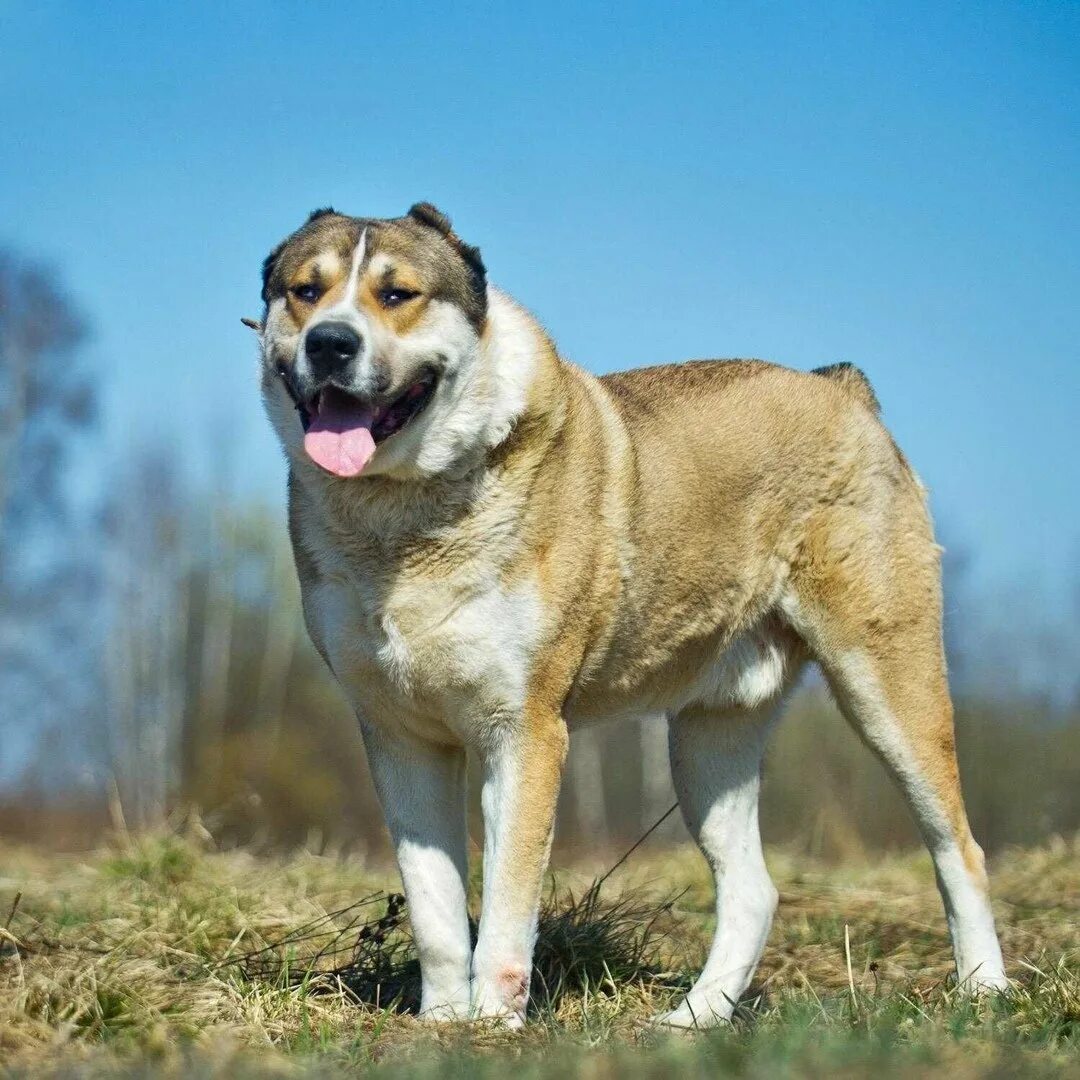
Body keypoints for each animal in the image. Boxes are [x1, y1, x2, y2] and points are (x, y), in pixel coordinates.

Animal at [248, 204, 1006, 1028]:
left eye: (397, 295)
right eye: (306, 291)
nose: (331, 341)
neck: (402, 514)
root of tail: (844, 392)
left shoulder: (525, 734)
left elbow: (507, 903)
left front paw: (492, 1025)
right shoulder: (402, 740)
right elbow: (436, 908)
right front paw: (442, 1023)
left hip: (890, 687)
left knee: (958, 850)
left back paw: (985, 990)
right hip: (708, 744)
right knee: (753, 890)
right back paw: (694, 1020)